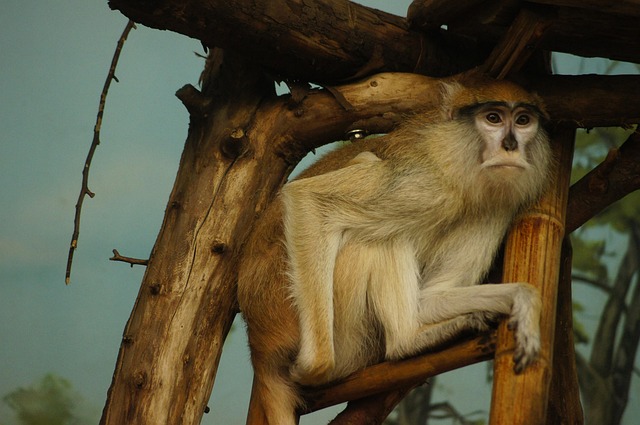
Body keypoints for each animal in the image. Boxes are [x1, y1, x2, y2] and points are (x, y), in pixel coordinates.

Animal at [237, 75, 552, 424]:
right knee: (370, 222)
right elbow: (308, 198)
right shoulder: (423, 180)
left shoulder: (498, 204)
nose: (511, 146)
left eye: (523, 120)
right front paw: (311, 369)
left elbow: (432, 297)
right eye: (493, 118)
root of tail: (260, 342)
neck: (460, 160)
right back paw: (404, 341)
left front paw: (525, 300)